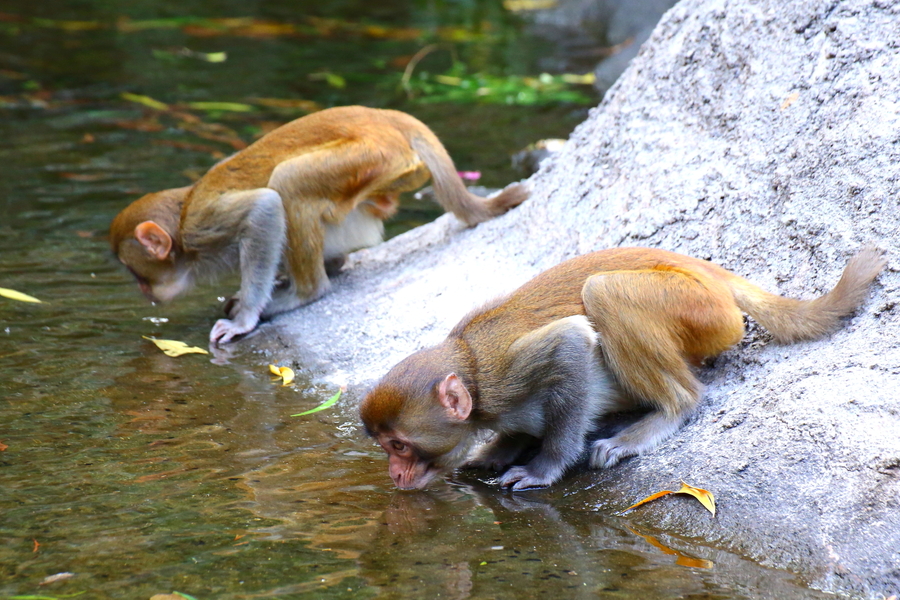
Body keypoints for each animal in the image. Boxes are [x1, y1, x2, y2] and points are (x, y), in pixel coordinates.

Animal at [110, 105, 528, 344]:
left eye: (135, 272)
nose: (144, 292)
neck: (182, 219)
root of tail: (385, 116)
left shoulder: (202, 225)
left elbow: (264, 208)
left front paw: (244, 319)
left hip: (372, 156)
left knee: (289, 182)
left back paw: (305, 291)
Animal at [360, 246, 884, 490]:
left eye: (399, 446)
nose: (394, 473)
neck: (471, 372)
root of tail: (712, 273)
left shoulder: (506, 377)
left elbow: (570, 344)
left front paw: (543, 467)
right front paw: (496, 452)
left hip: (701, 310)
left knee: (604, 291)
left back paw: (668, 412)